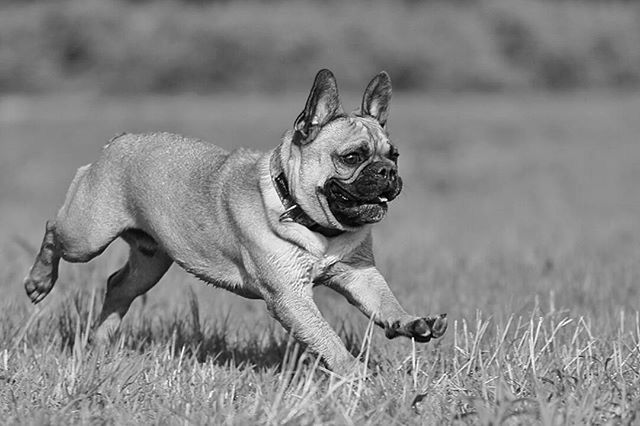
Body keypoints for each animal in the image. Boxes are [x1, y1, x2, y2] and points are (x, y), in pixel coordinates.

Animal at [23, 70, 444, 372]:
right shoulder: (290, 296)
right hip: (86, 236)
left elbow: (385, 303)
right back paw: (39, 282)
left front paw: (411, 323)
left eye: (394, 155)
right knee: (53, 232)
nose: (388, 172)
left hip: (150, 262)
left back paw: (101, 341)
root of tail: (118, 142)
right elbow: (326, 337)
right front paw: (355, 374)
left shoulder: (359, 274)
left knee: (118, 286)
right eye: (352, 157)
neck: (310, 221)